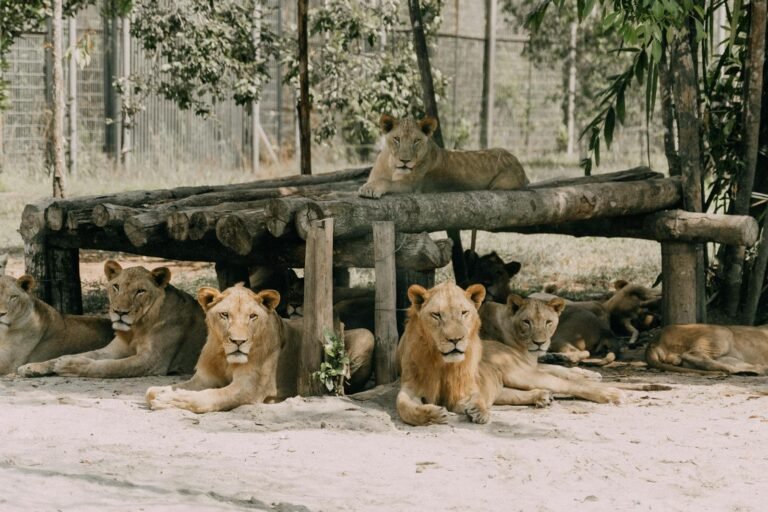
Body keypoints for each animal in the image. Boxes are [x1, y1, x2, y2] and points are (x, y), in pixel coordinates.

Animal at [17, 260, 206, 378]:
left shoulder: (153, 360)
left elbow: (109, 366)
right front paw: (33, 366)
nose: (119, 312)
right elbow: (77, 355)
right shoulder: (114, 350)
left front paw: (70, 366)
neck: (136, 329)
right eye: (116, 287)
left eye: (140, 291)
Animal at [146, 284, 375, 413]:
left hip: (366, 336)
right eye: (224, 315)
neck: (224, 356)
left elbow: (208, 397)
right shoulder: (204, 378)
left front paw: (168, 398)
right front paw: (161, 392)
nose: (238, 341)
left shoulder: (249, 388)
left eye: (252, 316)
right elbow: (159, 389)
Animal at [358, 114, 529, 199]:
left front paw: (369, 189)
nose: (405, 161)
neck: (390, 166)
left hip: (500, 184)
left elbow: (386, 181)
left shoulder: (411, 186)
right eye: (397, 139)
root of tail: (518, 162)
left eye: (416, 141)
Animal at [396, 283, 629, 426]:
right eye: (436, 315)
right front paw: (430, 414)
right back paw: (541, 396)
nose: (456, 339)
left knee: (568, 383)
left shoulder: (472, 385)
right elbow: (403, 405)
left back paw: (611, 393)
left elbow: (475, 397)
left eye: (464, 313)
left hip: (521, 373)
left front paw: (477, 410)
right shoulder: (410, 386)